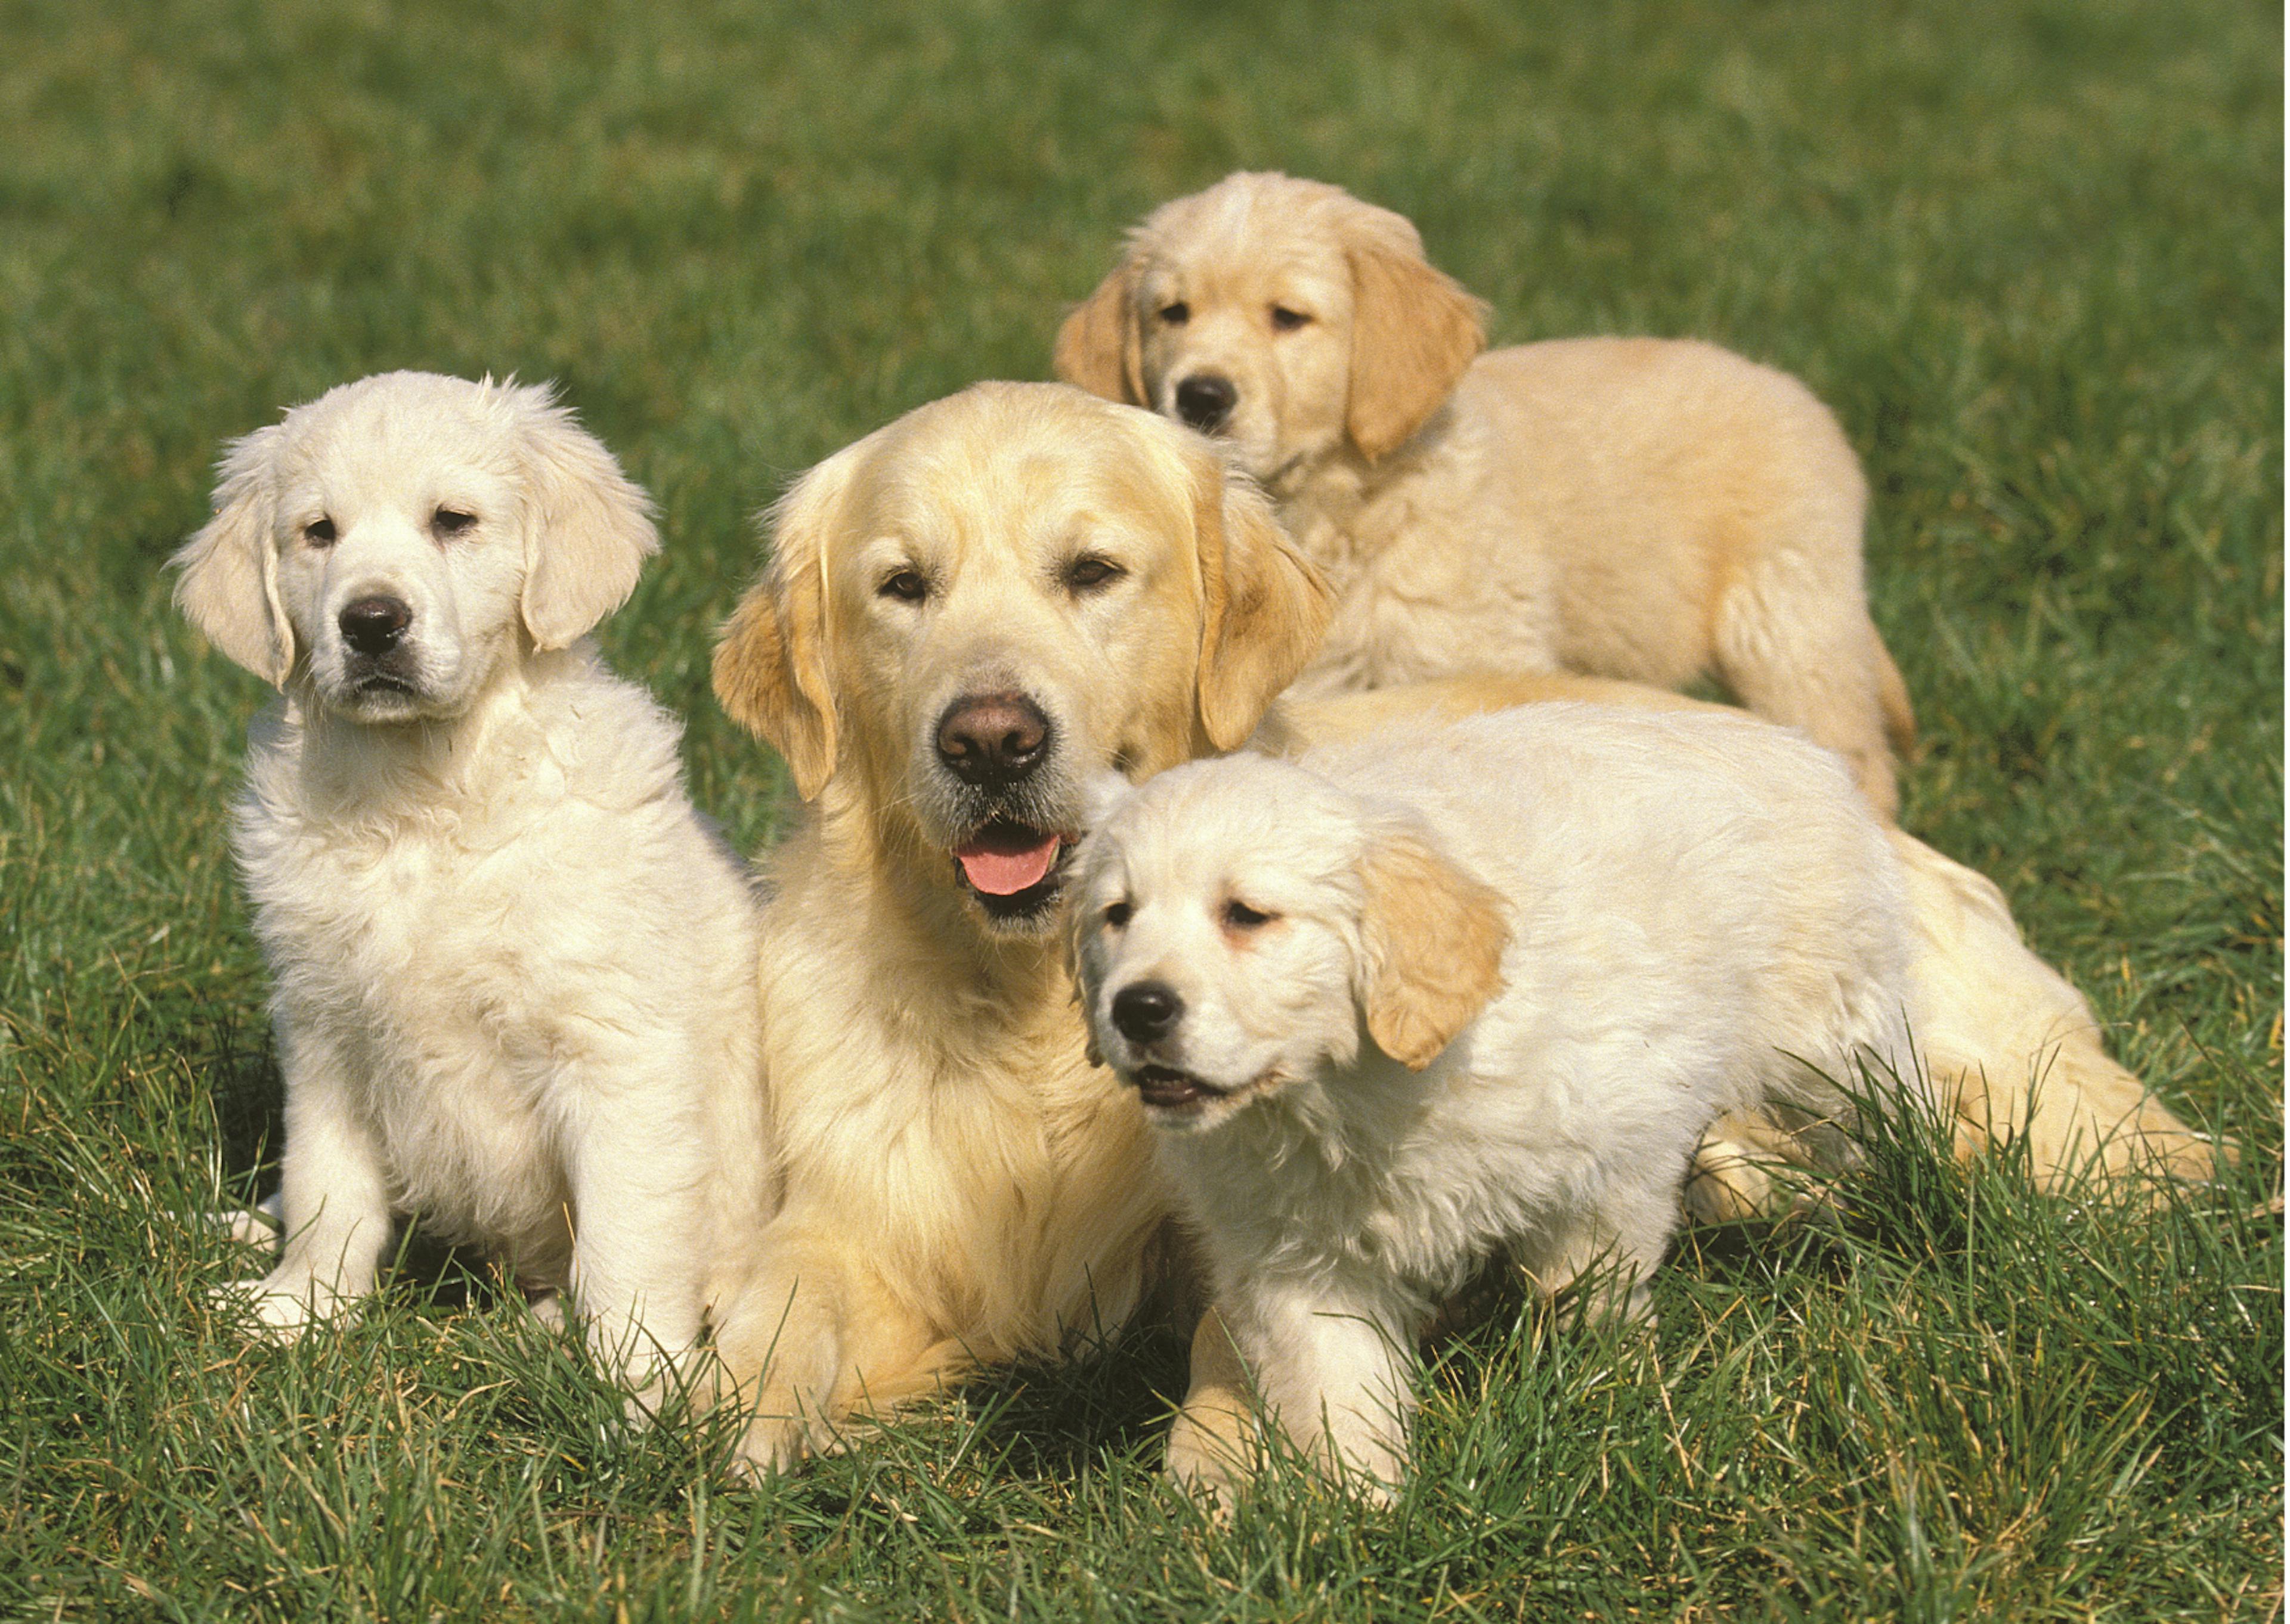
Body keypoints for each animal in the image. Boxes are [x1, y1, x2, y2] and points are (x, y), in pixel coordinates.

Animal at [176, 373, 769, 1383]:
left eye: (453, 521)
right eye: (318, 533)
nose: (372, 623)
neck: (423, 797)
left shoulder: (619, 1052)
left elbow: (626, 1240)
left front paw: (640, 1389)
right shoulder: (327, 1029)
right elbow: (328, 1185)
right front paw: (299, 1311)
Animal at [705, 382, 1337, 1465]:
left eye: (1091, 571)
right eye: (904, 585)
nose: (990, 742)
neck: (1035, 1004)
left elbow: (1243, 1327)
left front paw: (1225, 1459)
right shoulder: (853, 1213)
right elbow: (788, 1292)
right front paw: (747, 1404)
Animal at [1053, 171, 1914, 815]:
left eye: (1288, 318)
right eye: (1172, 314)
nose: (1200, 395)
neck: (1341, 506)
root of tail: (1801, 397)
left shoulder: (1470, 655)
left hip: (1790, 624)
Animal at [1072, 710, 1914, 1493]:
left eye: (1246, 915)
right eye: (1118, 916)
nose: (1137, 1010)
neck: (1340, 1099)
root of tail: (1793, 745)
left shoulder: (1614, 1155)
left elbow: (1586, 1291)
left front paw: (1601, 1395)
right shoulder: (1296, 1259)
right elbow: (1334, 1390)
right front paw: (1358, 1511)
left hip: (1832, 1037)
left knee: (1881, 1117)